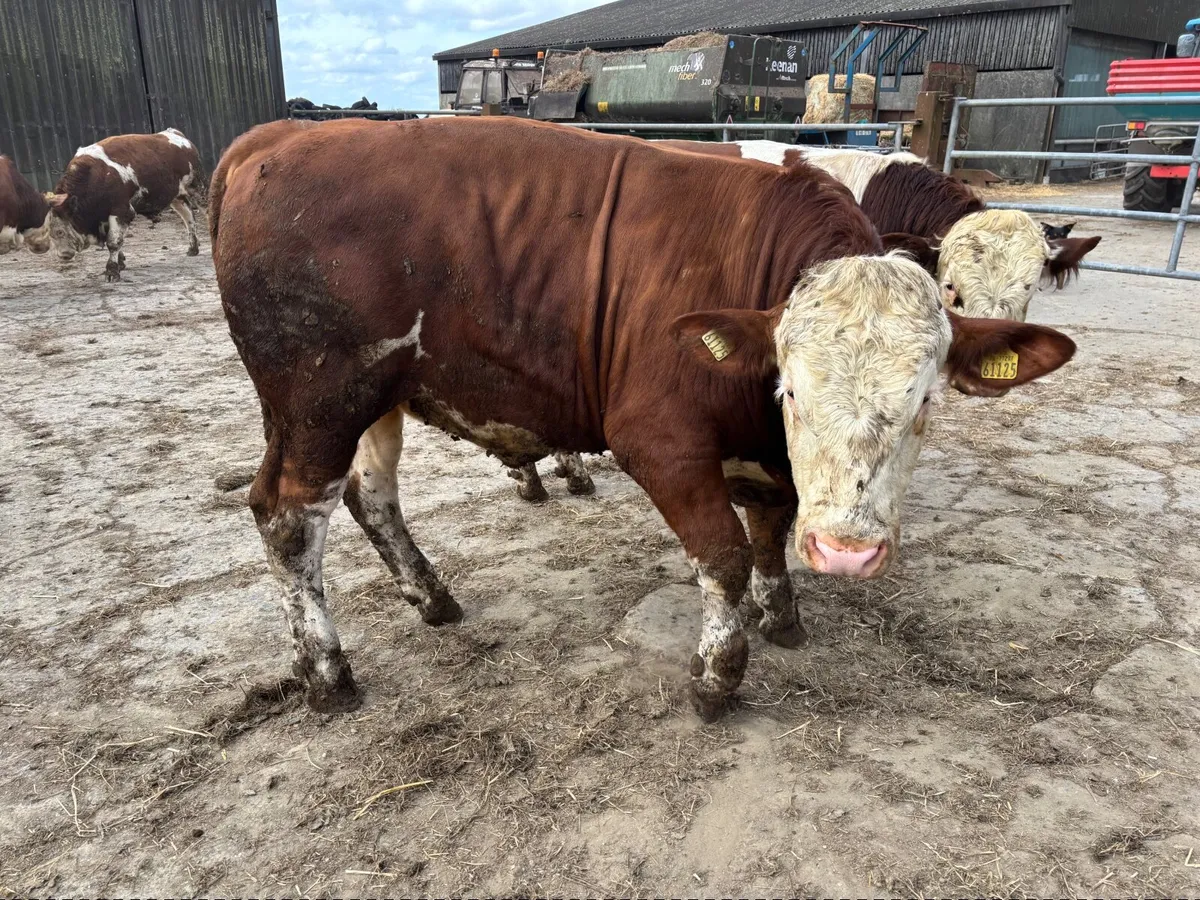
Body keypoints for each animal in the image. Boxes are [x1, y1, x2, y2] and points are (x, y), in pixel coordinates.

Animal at [47, 128, 202, 281]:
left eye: (60, 231)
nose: (63, 255)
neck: (93, 176)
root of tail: (175, 133)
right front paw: (120, 263)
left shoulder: (121, 211)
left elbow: (113, 242)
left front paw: (112, 271)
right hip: (177, 197)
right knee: (189, 219)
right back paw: (193, 248)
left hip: (197, 188)